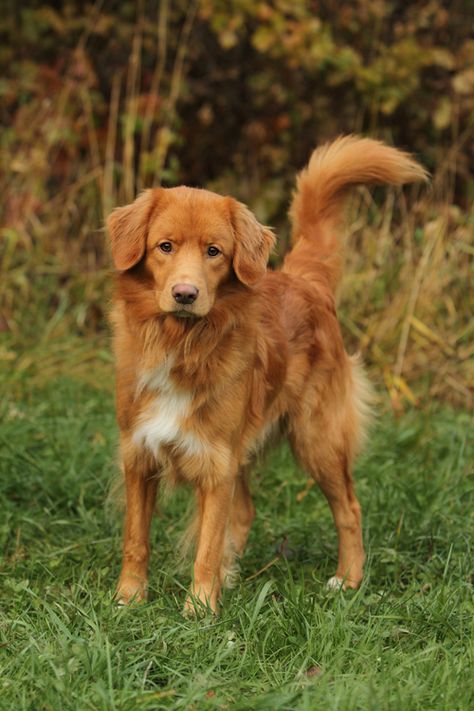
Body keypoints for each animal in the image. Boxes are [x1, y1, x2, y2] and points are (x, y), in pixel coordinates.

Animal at [106, 138, 426, 612]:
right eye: (164, 246)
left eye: (214, 251)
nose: (185, 294)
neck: (182, 345)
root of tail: (305, 278)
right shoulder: (139, 455)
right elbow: (136, 539)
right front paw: (129, 598)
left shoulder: (216, 464)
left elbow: (206, 545)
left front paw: (200, 608)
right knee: (243, 513)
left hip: (318, 439)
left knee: (349, 509)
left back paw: (347, 579)